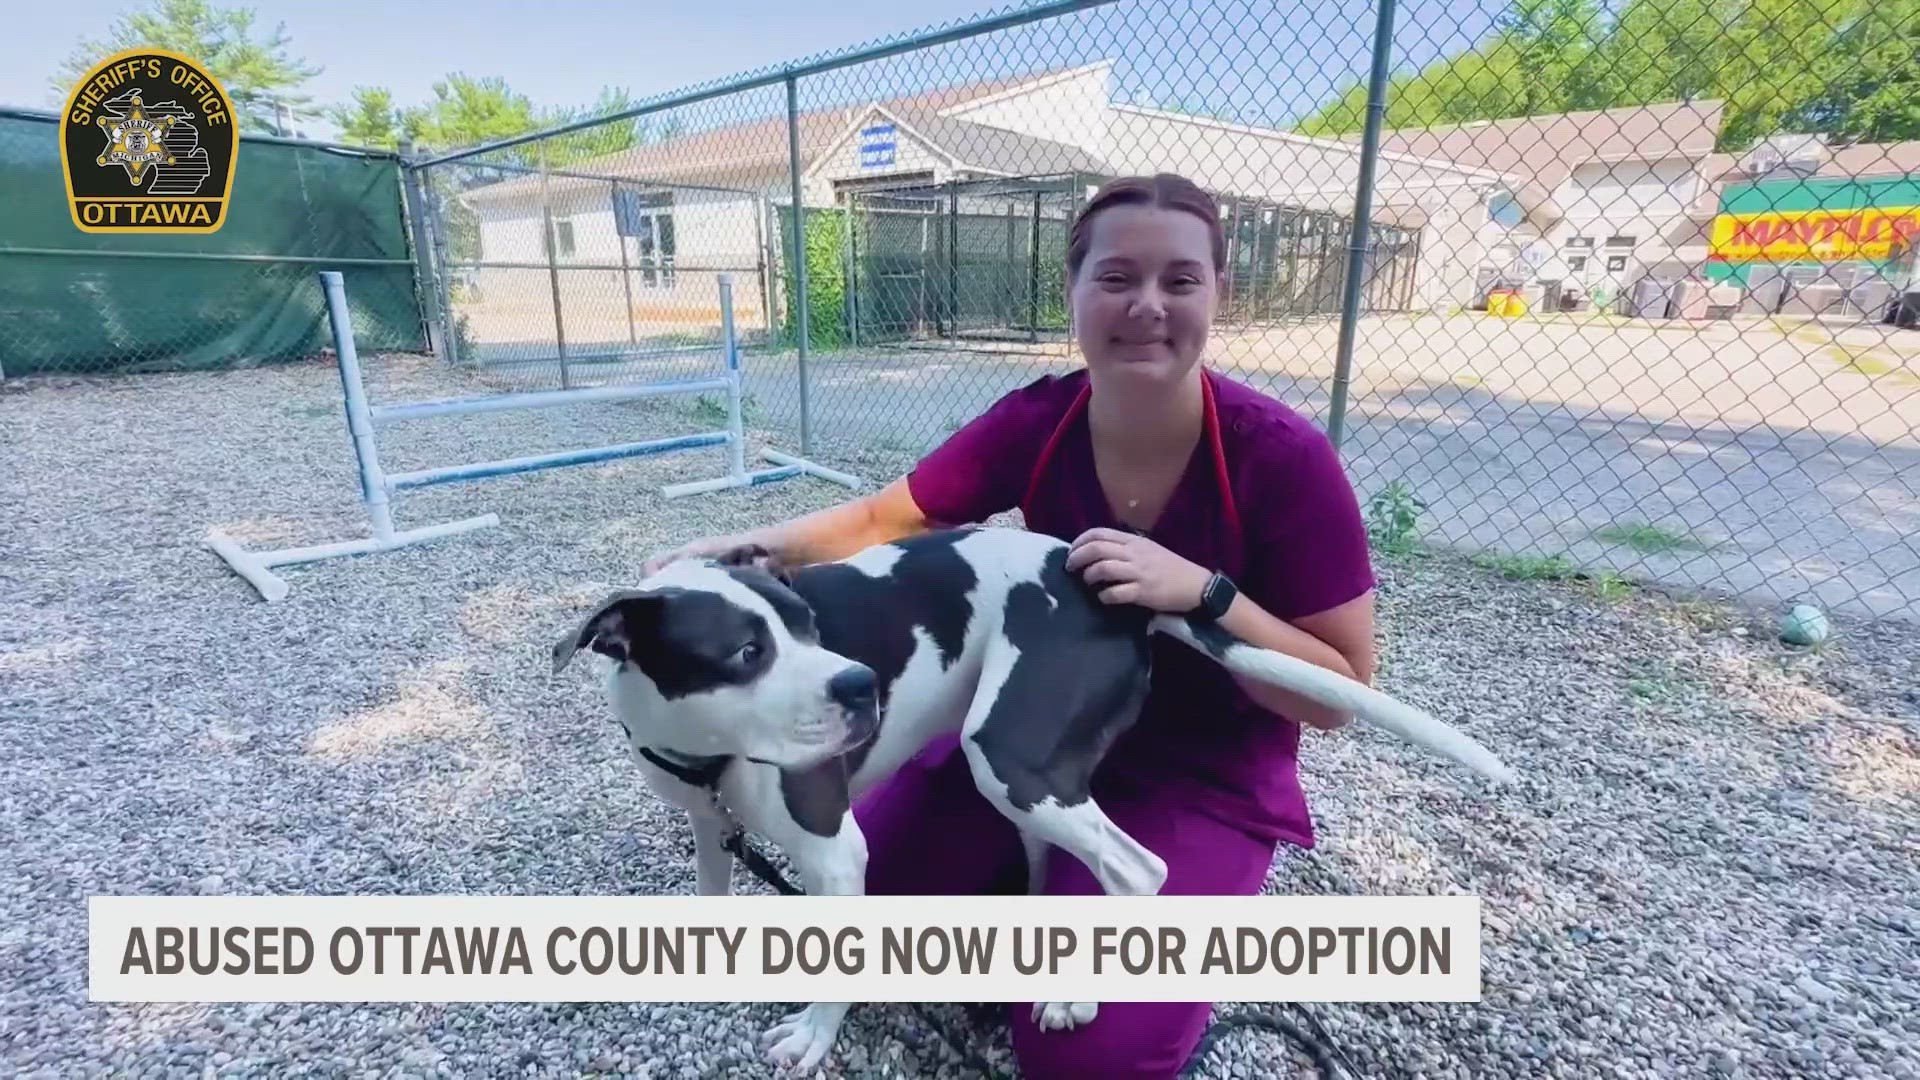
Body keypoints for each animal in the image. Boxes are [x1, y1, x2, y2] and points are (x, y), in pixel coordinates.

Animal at [552, 522, 1512, 1068]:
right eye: (747, 652)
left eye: (811, 629)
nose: (862, 686)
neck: (706, 751)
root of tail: (1106, 588)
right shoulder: (706, 823)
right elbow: (712, 890)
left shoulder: (836, 853)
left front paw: (815, 1038)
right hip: (1031, 776)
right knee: (1055, 865)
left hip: (1008, 756)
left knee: (1136, 870)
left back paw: (1078, 993)